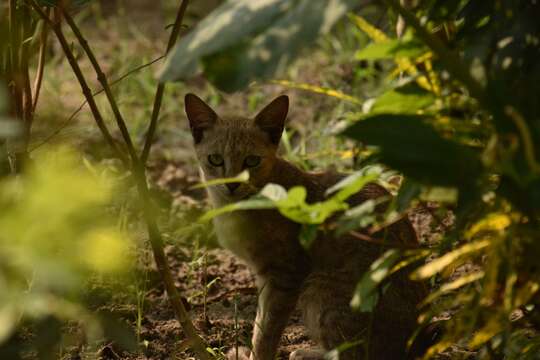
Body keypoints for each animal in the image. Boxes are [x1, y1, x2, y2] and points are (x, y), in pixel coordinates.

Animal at [184, 93, 428, 360]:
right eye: (215, 159)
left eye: (252, 161)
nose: (232, 184)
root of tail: (418, 342)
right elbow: (259, 321)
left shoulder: (285, 275)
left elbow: (265, 331)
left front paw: (255, 354)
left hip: (320, 289)